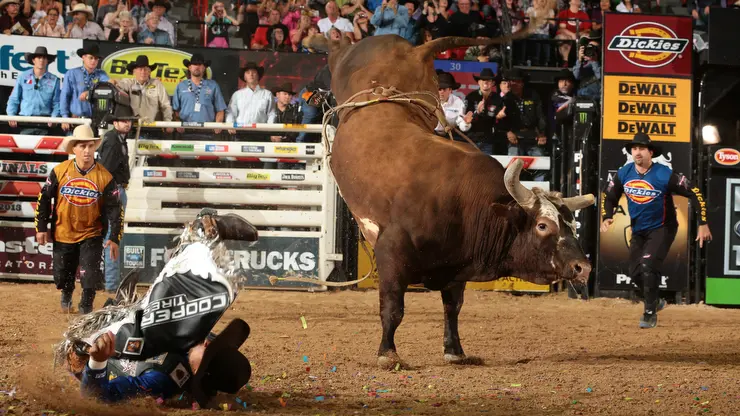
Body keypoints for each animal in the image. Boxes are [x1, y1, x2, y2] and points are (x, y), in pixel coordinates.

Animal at [298, 34, 592, 368]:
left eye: (571, 224)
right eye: (543, 225)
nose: (583, 268)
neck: (466, 202)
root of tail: (414, 49)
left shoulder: (456, 266)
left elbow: (453, 308)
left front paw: (455, 350)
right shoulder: (390, 253)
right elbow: (394, 308)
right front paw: (388, 353)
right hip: (344, 62)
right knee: (338, 47)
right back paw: (317, 40)